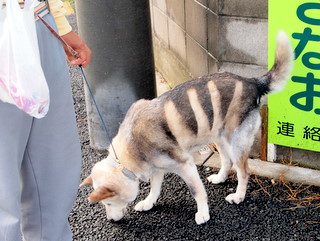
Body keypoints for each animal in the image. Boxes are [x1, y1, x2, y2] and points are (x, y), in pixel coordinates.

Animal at [79, 31, 292, 225]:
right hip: (220, 138)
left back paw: (238, 196)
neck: (131, 148)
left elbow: (197, 192)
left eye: (107, 203)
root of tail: (251, 82)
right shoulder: (157, 168)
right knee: (227, 161)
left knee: (243, 171)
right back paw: (220, 178)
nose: (111, 221)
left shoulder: (186, 165)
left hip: (237, 142)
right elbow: (155, 188)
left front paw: (203, 214)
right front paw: (148, 203)